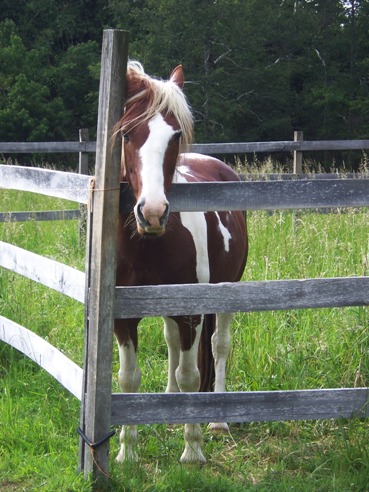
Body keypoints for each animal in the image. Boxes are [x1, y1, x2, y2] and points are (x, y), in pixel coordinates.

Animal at [114, 59, 247, 464]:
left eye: (174, 136)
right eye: (127, 134)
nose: (153, 213)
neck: (148, 244)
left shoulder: (190, 312)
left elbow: (192, 376)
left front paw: (192, 451)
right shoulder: (123, 317)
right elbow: (128, 379)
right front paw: (127, 453)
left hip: (227, 292)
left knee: (219, 345)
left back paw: (217, 421)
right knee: (172, 342)